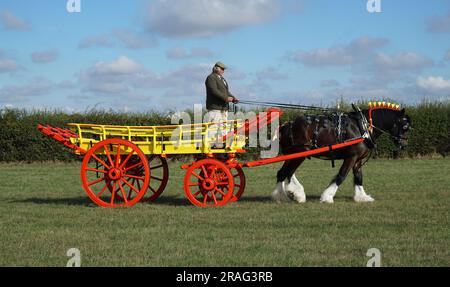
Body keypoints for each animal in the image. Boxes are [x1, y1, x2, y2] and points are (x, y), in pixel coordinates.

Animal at [272, 103, 414, 205]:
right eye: (405, 127)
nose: (404, 145)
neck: (362, 127)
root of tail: (286, 125)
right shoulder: (351, 157)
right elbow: (342, 175)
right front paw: (327, 196)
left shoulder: (358, 159)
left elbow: (358, 177)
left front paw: (361, 196)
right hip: (299, 153)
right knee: (288, 172)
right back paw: (295, 194)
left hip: (292, 154)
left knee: (283, 173)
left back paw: (282, 196)